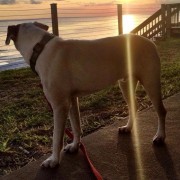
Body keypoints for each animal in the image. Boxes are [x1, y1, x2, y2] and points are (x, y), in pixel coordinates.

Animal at [5, 22, 167, 167]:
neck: (40, 48)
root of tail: (150, 42)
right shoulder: (71, 99)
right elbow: (76, 125)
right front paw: (75, 146)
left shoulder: (59, 105)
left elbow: (56, 137)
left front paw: (54, 160)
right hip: (125, 83)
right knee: (134, 105)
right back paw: (128, 128)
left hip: (150, 81)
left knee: (161, 111)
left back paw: (160, 137)